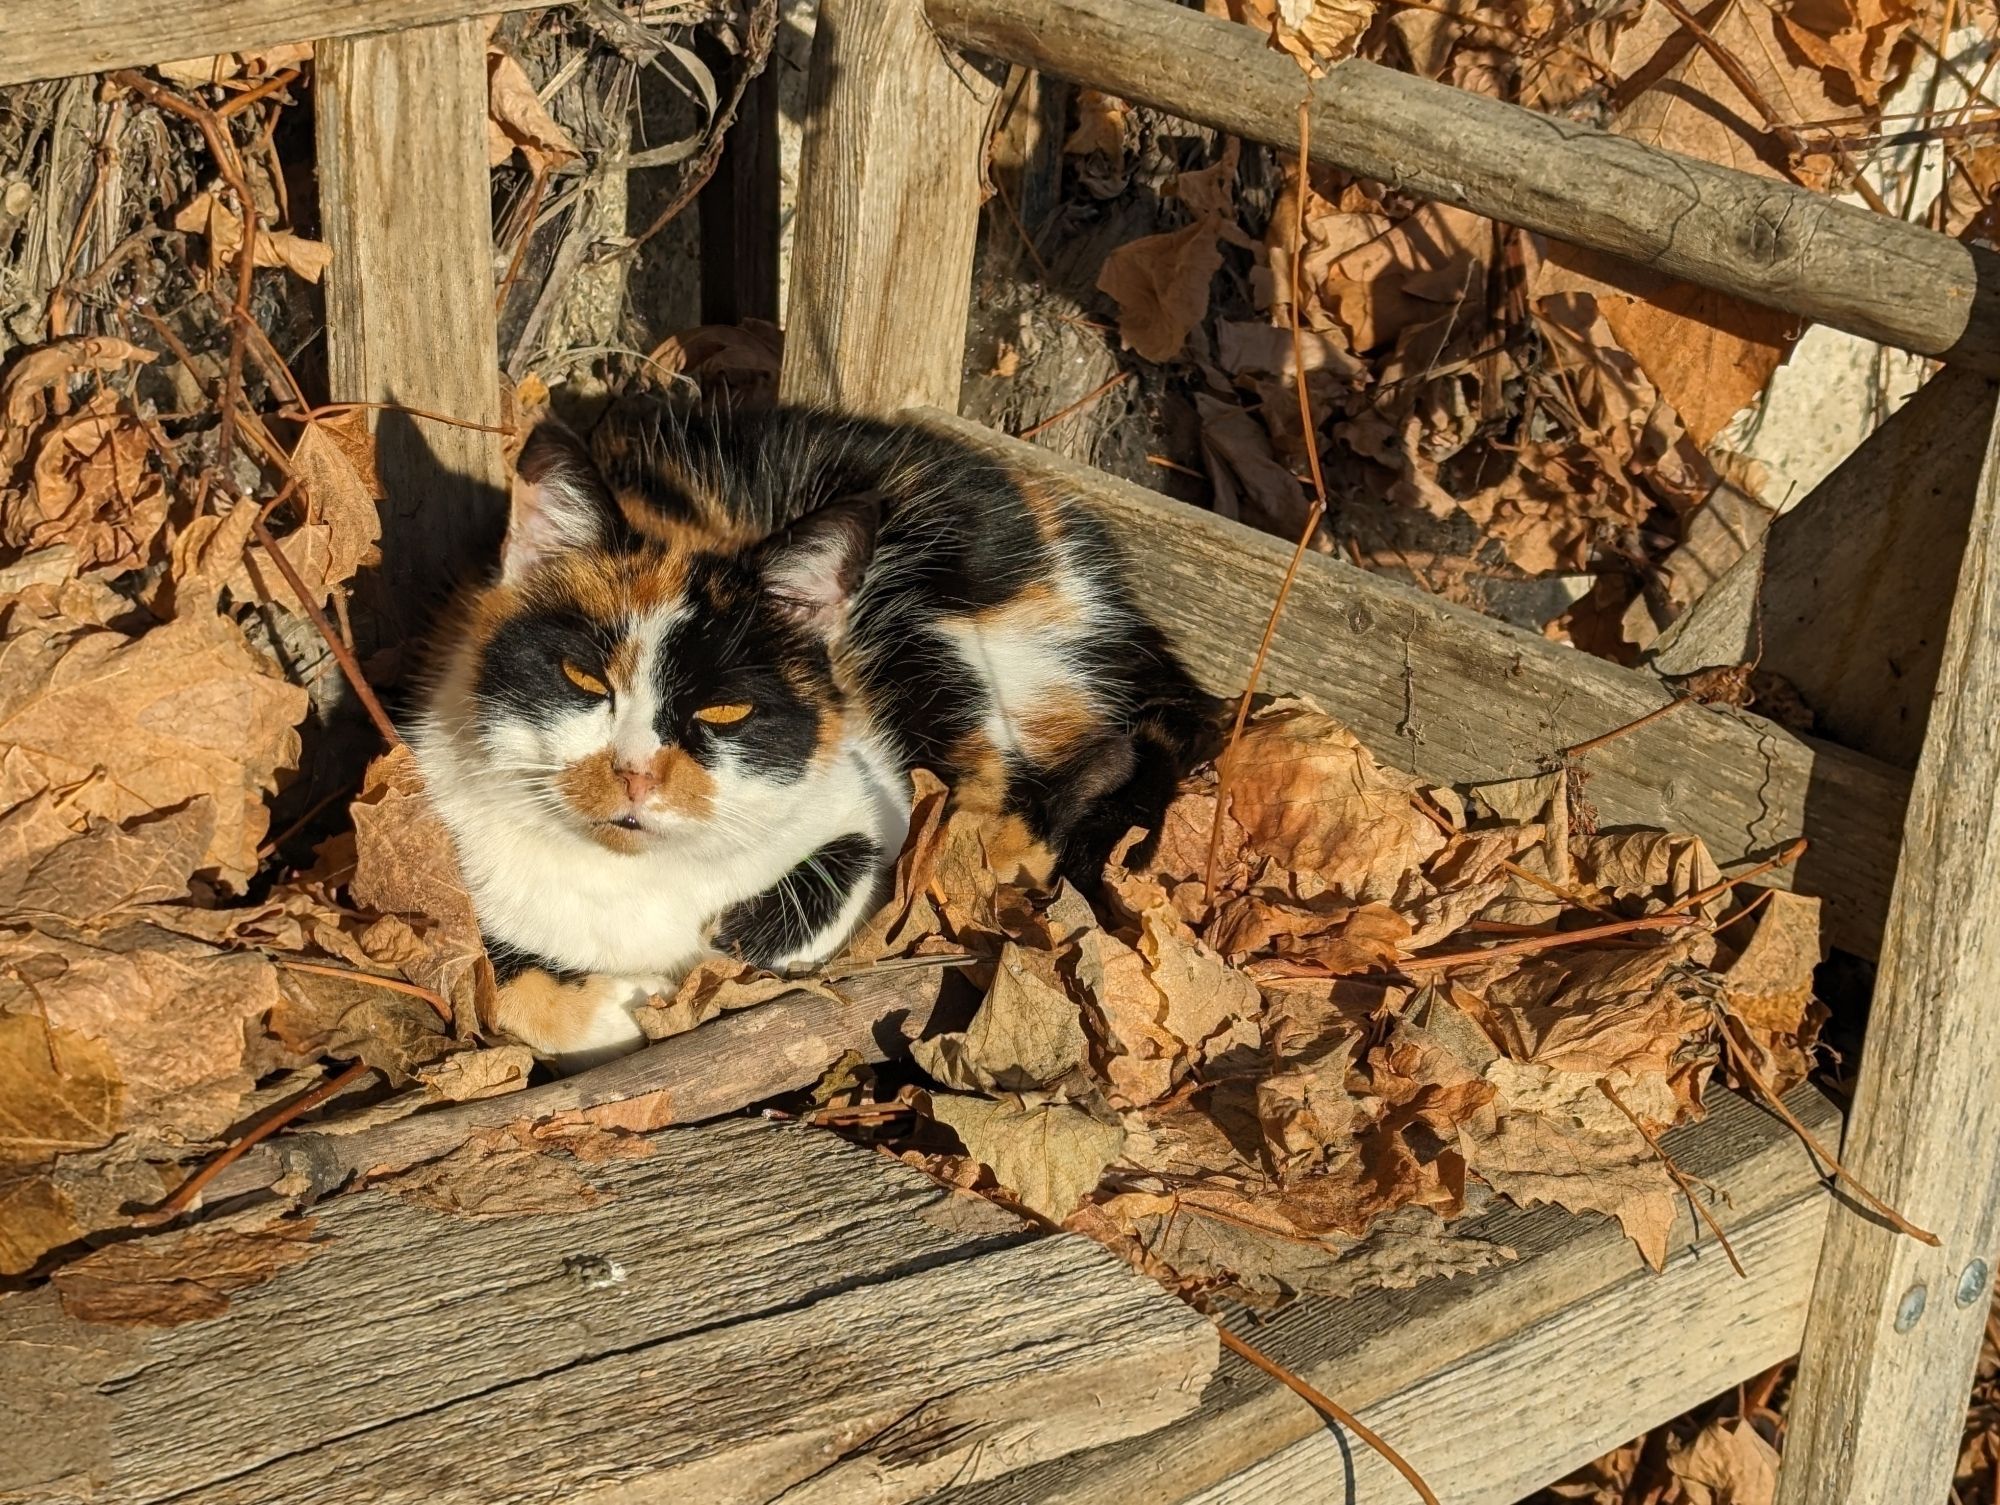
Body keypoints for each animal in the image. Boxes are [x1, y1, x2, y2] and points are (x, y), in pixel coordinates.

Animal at [410, 396, 1200, 1056]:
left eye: (725, 709)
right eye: (583, 678)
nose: (635, 773)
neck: (634, 880)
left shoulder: (877, 791)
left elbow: (863, 867)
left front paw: (714, 957)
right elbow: (487, 975)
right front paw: (616, 1008)